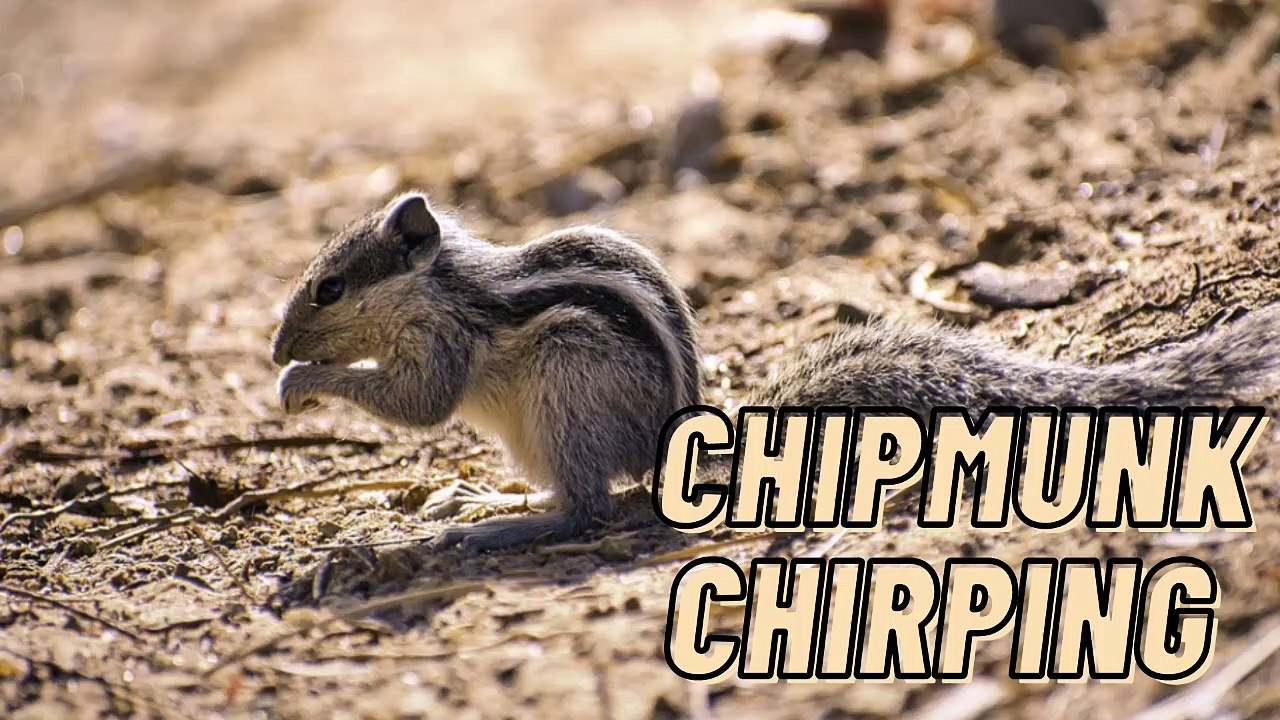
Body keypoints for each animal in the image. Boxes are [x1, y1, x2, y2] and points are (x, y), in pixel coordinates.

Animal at [272, 191, 1280, 551]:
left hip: (566, 386)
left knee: (588, 511)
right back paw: (487, 498)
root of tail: (675, 443)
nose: (279, 348)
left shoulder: (444, 342)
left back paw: (492, 528)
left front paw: (302, 385)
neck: (437, 281)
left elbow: (419, 405)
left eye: (328, 287)